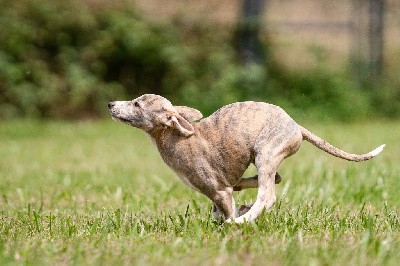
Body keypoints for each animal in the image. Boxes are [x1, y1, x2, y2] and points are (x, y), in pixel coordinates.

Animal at [107, 94, 384, 223]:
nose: (110, 104)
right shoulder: (217, 192)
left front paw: (233, 221)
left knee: (268, 195)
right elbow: (219, 211)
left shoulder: (218, 190)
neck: (175, 136)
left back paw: (243, 221)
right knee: (274, 180)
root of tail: (297, 127)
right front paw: (234, 211)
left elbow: (225, 210)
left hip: (266, 153)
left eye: (137, 104)